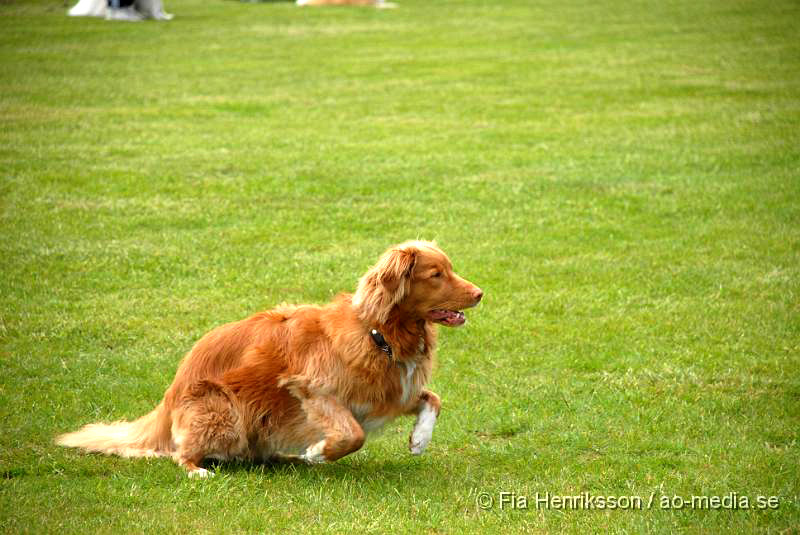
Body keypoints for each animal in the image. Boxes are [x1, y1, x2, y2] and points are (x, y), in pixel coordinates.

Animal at [57, 242, 482, 478]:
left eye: (450, 269)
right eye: (436, 274)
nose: (480, 293)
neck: (379, 333)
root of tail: (168, 397)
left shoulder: (388, 393)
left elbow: (433, 399)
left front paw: (419, 440)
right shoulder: (313, 390)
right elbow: (352, 435)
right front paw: (319, 452)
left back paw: (282, 456)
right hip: (223, 414)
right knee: (180, 453)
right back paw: (200, 471)